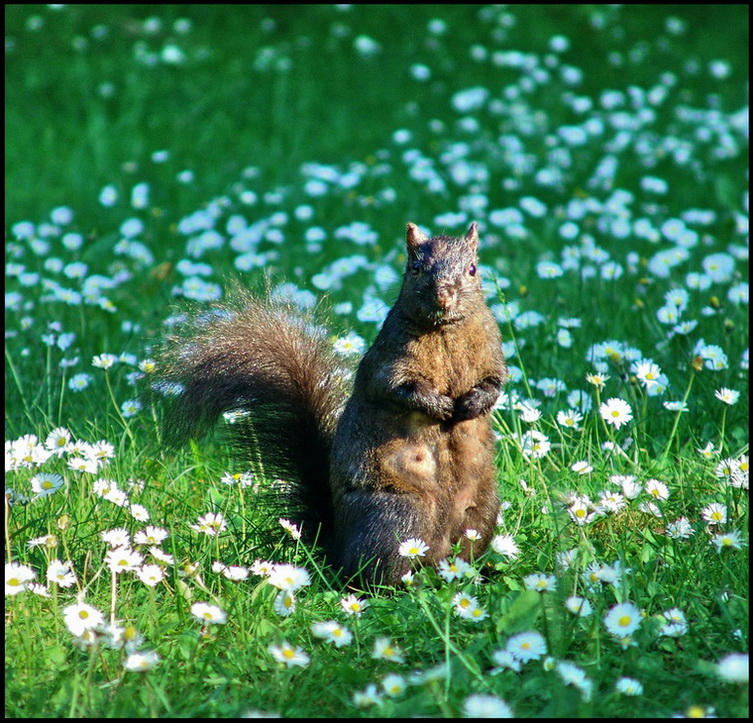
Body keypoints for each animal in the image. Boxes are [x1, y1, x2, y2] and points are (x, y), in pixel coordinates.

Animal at [162, 222, 508, 588]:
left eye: (473, 269)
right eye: (415, 268)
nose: (443, 295)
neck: (445, 330)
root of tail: (337, 546)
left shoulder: (492, 351)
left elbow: (495, 383)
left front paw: (474, 403)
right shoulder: (389, 361)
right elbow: (398, 389)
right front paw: (438, 405)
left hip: (481, 512)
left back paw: (476, 575)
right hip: (400, 515)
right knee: (376, 573)